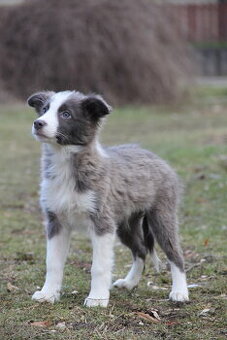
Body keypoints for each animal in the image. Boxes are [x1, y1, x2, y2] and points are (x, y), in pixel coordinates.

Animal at [27, 90, 189, 308]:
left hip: (161, 215)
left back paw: (180, 292)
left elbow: (99, 266)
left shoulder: (102, 222)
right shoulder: (56, 221)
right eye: (44, 109)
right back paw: (130, 283)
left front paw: (97, 298)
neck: (65, 162)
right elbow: (52, 263)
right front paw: (48, 294)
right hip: (125, 225)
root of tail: (156, 157)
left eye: (66, 114)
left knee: (175, 254)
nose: (38, 123)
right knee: (140, 251)